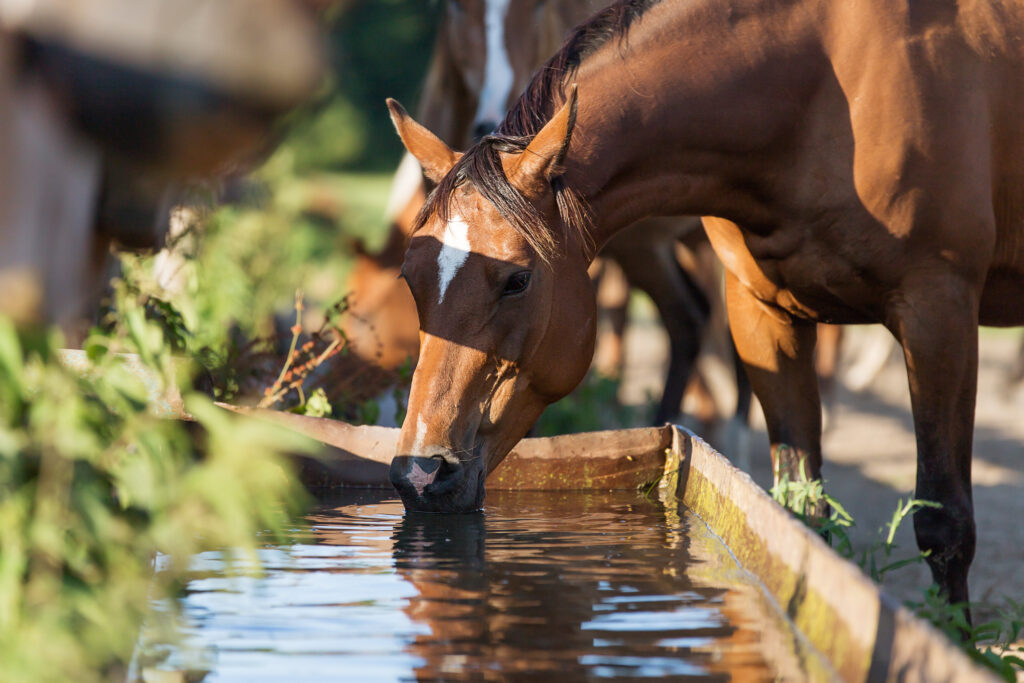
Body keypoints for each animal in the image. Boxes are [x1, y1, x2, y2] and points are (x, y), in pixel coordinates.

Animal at [386, 0, 1024, 612]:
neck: (822, 95)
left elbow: (945, 525)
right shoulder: (761, 312)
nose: (420, 474)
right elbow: (798, 511)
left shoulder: (937, 313)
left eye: (516, 281)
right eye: (410, 277)